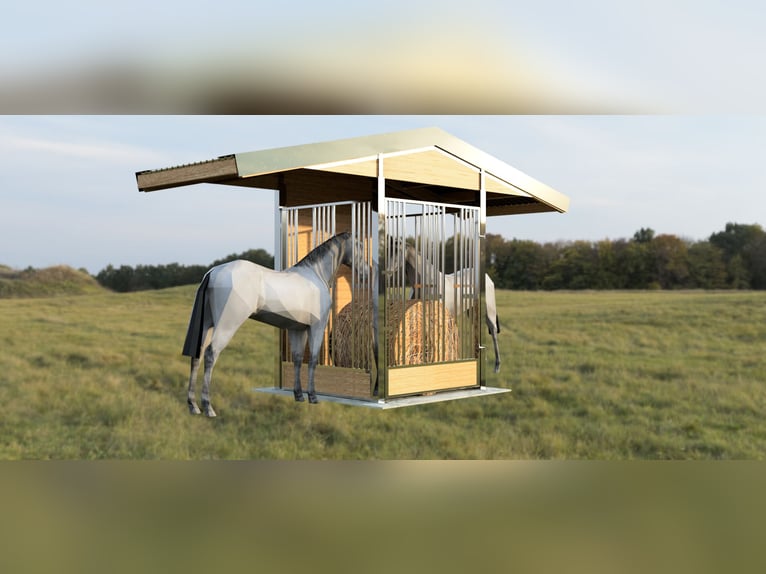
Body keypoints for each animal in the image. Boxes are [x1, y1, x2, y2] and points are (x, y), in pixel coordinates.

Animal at [182, 231, 369, 416]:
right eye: (359, 245)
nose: (366, 273)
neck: (316, 275)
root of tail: (213, 272)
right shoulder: (317, 327)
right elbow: (313, 360)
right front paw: (313, 397)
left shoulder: (297, 329)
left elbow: (297, 359)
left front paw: (298, 395)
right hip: (227, 324)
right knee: (210, 354)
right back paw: (208, 407)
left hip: (208, 326)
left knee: (197, 356)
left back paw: (193, 406)